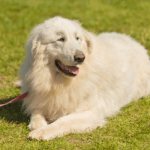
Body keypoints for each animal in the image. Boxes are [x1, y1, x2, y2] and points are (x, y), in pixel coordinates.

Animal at [20, 16, 150, 141]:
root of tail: (133, 41)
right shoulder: (38, 99)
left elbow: (64, 120)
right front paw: (39, 125)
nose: (80, 57)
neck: (60, 83)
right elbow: (36, 113)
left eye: (77, 38)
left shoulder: (91, 112)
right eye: (60, 39)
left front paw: (42, 132)